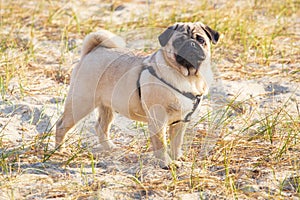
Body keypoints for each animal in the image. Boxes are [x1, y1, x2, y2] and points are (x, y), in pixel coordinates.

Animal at [56, 21, 219, 169]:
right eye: (178, 42)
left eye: (201, 40)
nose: (191, 44)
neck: (189, 77)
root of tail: (93, 51)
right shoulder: (158, 120)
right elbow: (161, 144)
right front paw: (166, 163)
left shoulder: (180, 121)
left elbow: (176, 143)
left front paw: (177, 158)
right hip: (81, 102)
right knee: (61, 125)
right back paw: (60, 150)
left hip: (106, 107)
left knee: (101, 126)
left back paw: (109, 147)